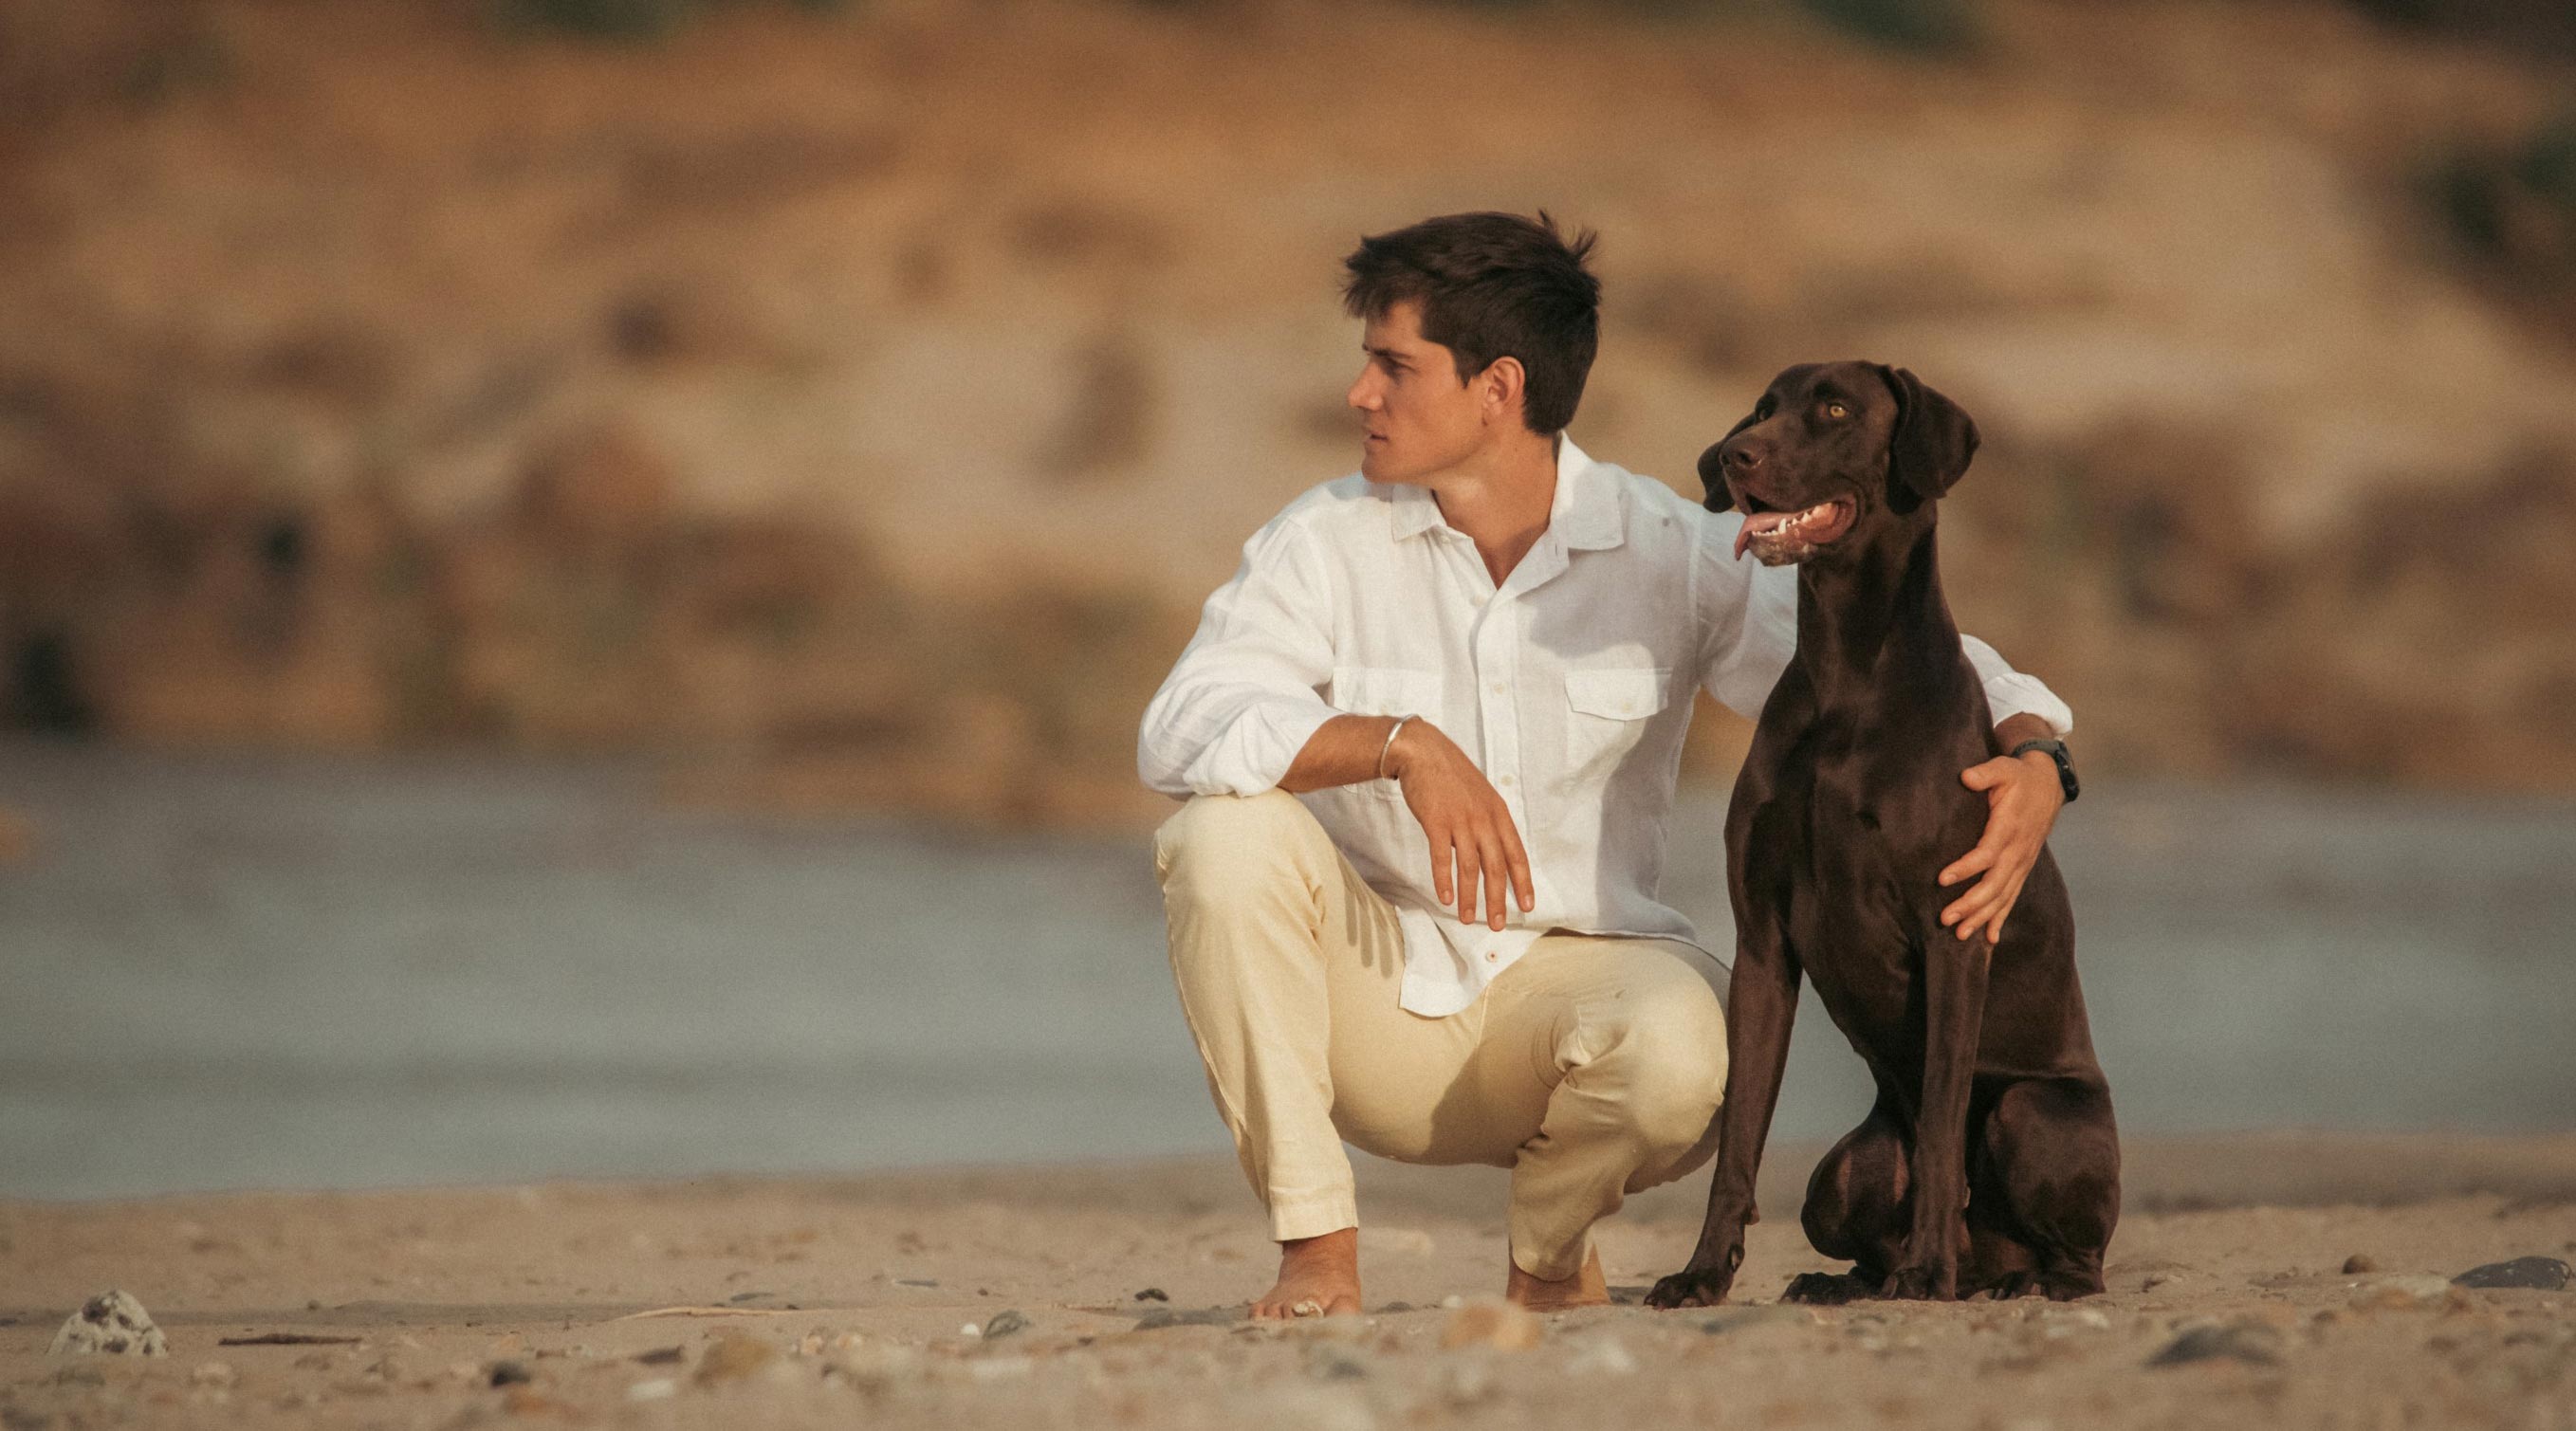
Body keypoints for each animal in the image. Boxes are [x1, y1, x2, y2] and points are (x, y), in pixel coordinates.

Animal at [1638, 359, 2122, 1307]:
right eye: (1763, 408)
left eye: (1834, 408)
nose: (1733, 455)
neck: (1846, 676)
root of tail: (1990, 1258)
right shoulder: (1763, 945)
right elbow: (1738, 1142)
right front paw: (1702, 1273)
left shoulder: (1953, 934)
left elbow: (1938, 1128)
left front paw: (1925, 1269)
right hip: (1845, 1173)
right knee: (1861, 1222)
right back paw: (1853, 1281)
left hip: (2034, 1113)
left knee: (2073, 1252)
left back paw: (2001, 1277)